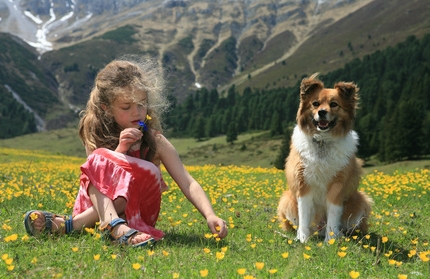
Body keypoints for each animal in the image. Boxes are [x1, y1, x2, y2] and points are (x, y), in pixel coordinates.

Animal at [278, 74, 372, 243]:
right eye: (315, 103)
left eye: (334, 104)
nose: (322, 112)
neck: (322, 142)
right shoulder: (303, 185)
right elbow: (304, 216)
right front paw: (303, 239)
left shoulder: (338, 185)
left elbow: (333, 216)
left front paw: (331, 240)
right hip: (286, 199)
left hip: (361, 200)